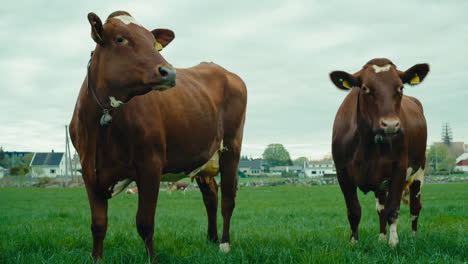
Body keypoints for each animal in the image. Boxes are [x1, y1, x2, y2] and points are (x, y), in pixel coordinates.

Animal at [68, 10, 249, 260]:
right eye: (120, 39)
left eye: (153, 43)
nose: (169, 72)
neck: (101, 127)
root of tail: (223, 71)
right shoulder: (88, 170)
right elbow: (98, 224)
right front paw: (97, 258)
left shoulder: (150, 165)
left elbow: (145, 222)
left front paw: (151, 258)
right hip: (203, 155)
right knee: (211, 195)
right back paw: (210, 239)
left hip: (231, 148)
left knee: (228, 199)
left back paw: (224, 244)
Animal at [330, 58, 428, 248]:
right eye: (365, 88)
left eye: (401, 88)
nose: (390, 124)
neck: (367, 146)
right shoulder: (342, 172)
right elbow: (354, 210)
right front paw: (354, 242)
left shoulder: (399, 168)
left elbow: (393, 210)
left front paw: (393, 243)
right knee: (381, 208)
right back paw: (381, 237)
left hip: (419, 171)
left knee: (414, 206)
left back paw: (413, 237)